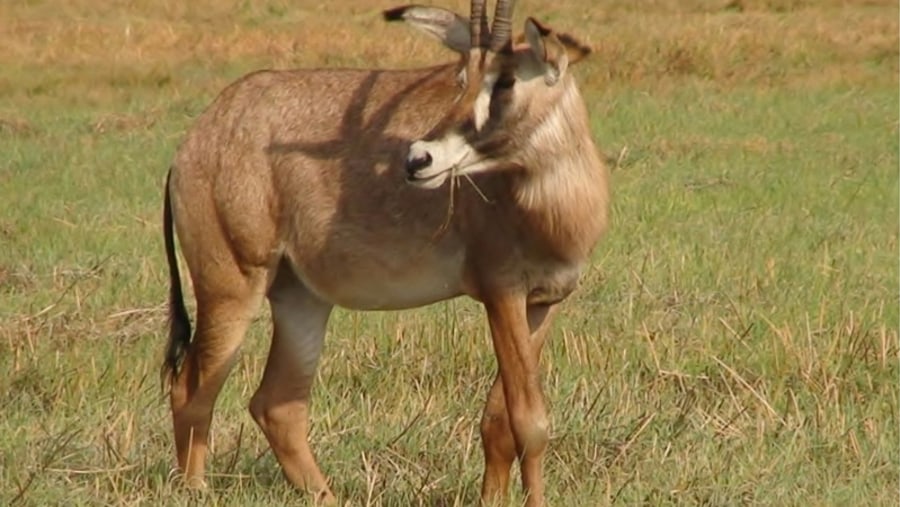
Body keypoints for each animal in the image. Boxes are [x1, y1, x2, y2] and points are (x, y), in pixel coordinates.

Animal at [162, 1, 612, 506]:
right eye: (462, 77)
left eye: (507, 81)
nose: (419, 159)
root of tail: (197, 140)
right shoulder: (501, 294)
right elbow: (529, 423)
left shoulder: (544, 302)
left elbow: (499, 423)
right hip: (232, 288)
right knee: (192, 391)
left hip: (301, 298)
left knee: (277, 404)